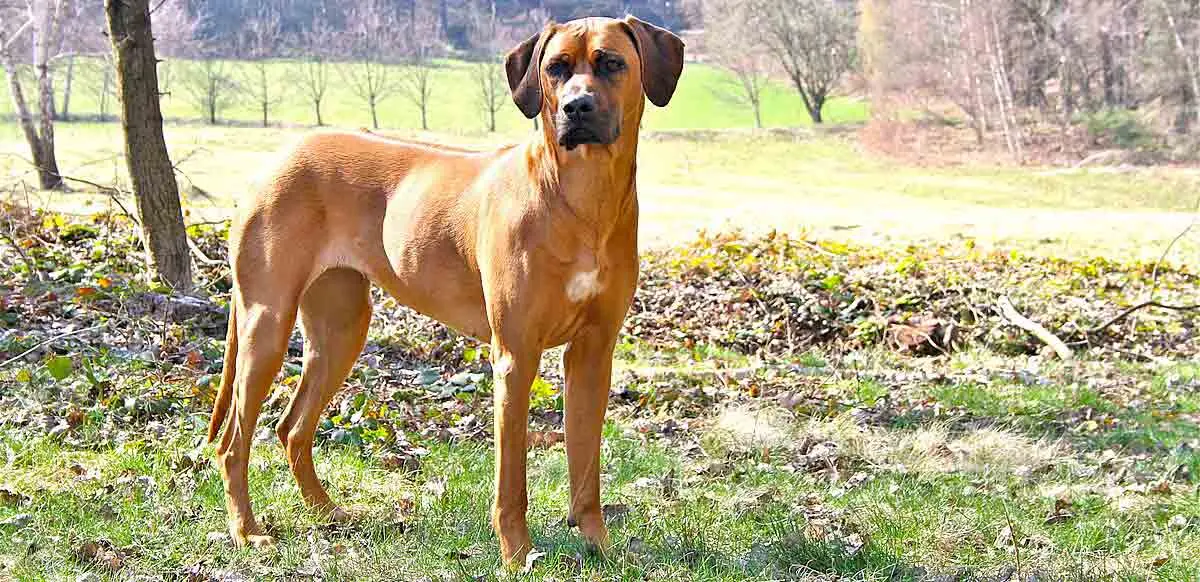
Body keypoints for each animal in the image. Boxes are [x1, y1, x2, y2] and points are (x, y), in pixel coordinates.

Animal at [206, 14, 686, 566]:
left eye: (611, 63)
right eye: (556, 68)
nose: (576, 108)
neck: (581, 198)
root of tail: (277, 156)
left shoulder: (594, 352)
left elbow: (585, 467)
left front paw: (597, 546)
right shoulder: (515, 356)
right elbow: (511, 481)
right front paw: (517, 556)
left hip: (341, 328)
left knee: (291, 428)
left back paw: (328, 512)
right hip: (266, 323)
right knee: (234, 440)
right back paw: (247, 531)